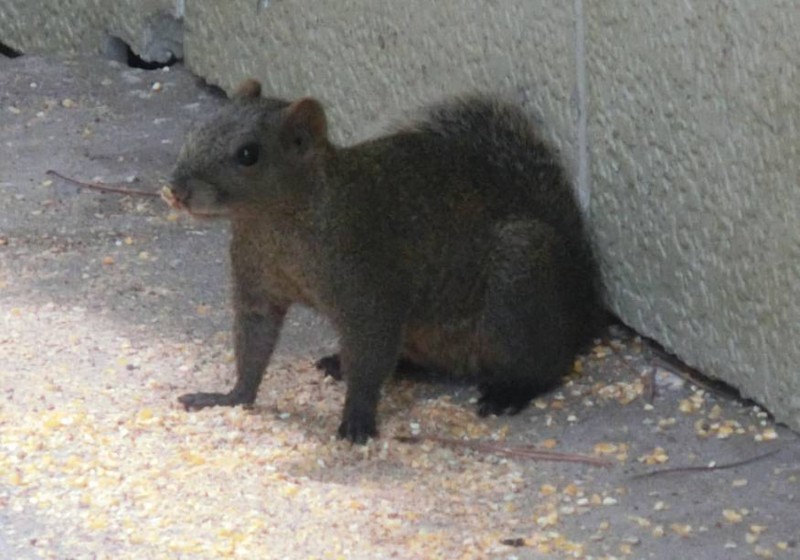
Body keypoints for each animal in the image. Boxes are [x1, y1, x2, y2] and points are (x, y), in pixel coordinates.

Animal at [166, 79, 604, 444]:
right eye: (198, 130)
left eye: (248, 154)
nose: (177, 189)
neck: (275, 224)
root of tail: (582, 301)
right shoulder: (257, 284)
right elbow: (253, 343)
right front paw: (231, 396)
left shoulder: (369, 285)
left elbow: (370, 350)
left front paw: (357, 417)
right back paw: (343, 362)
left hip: (518, 284)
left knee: (544, 363)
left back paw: (510, 392)